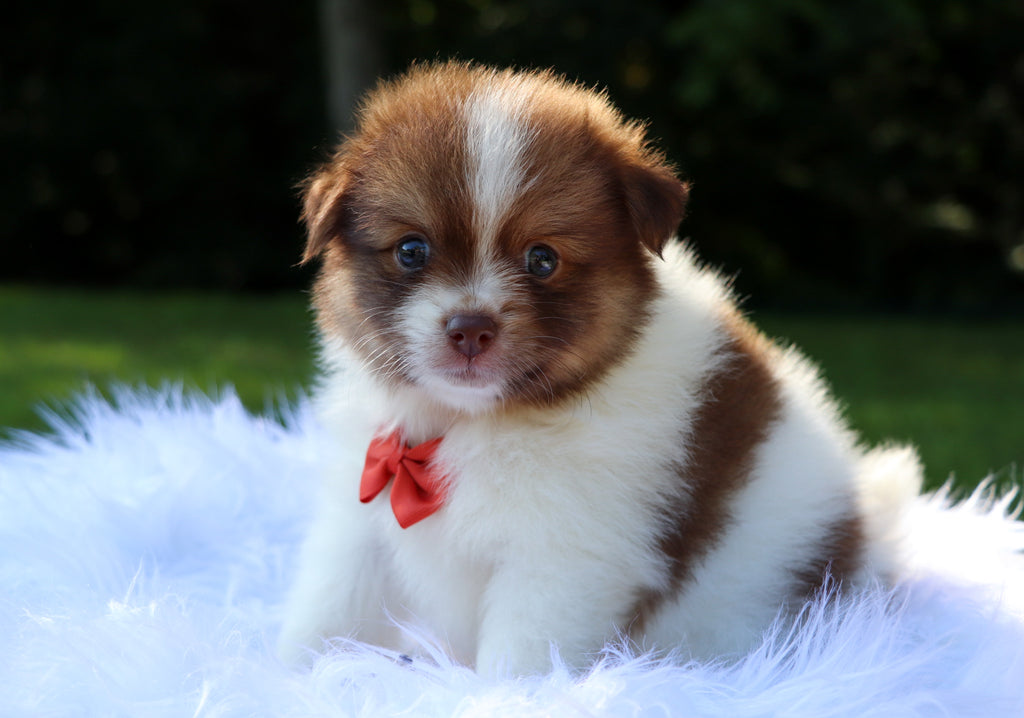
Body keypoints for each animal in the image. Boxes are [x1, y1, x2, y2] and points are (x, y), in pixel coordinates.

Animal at [278, 61, 921, 671]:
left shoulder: (562, 561)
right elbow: (329, 608)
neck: (467, 424)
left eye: (542, 259)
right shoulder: (360, 513)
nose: (470, 328)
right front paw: (285, 672)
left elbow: (517, 663)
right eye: (412, 251)